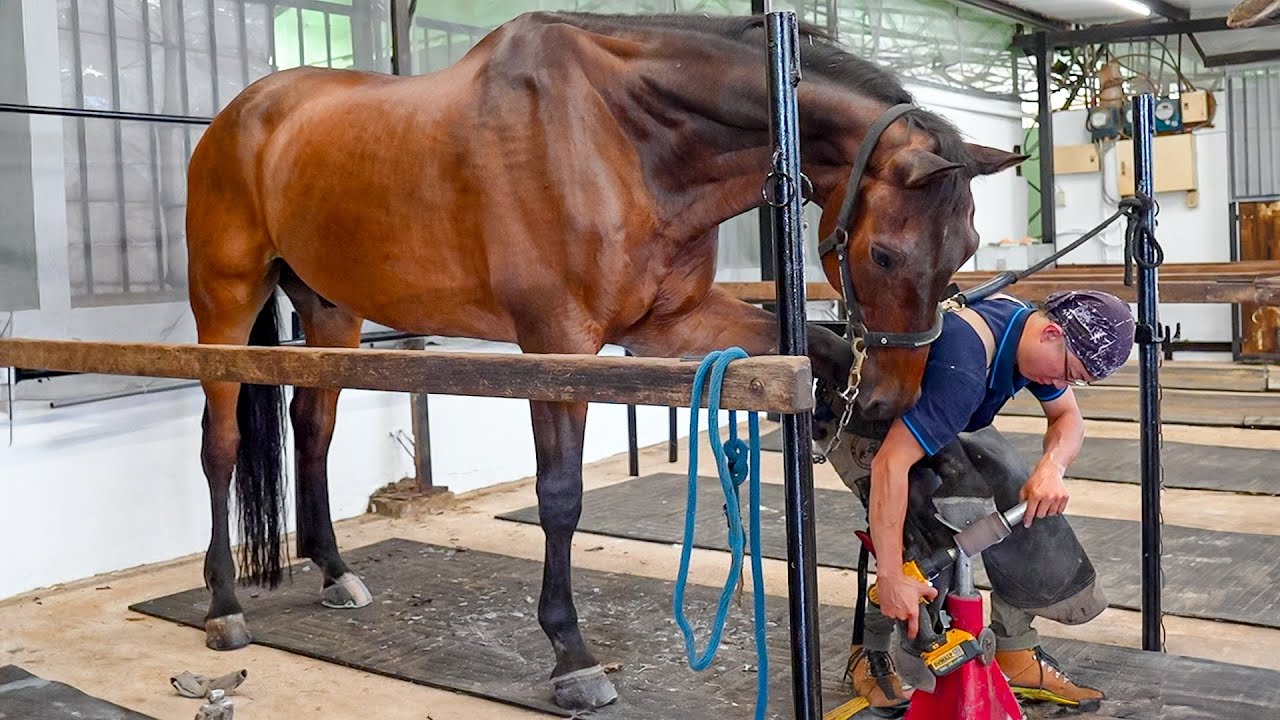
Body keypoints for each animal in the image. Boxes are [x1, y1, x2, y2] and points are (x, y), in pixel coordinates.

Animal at [184, 11, 1024, 710]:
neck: (625, 137)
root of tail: (237, 117)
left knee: (312, 430)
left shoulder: (672, 325)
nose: (887, 399)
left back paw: (332, 569)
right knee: (220, 446)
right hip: (224, 307)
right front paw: (571, 656)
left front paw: (924, 519)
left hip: (332, 311)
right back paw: (223, 606)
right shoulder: (558, 343)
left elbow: (823, 354)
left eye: (965, 251)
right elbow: (560, 497)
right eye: (884, 254)